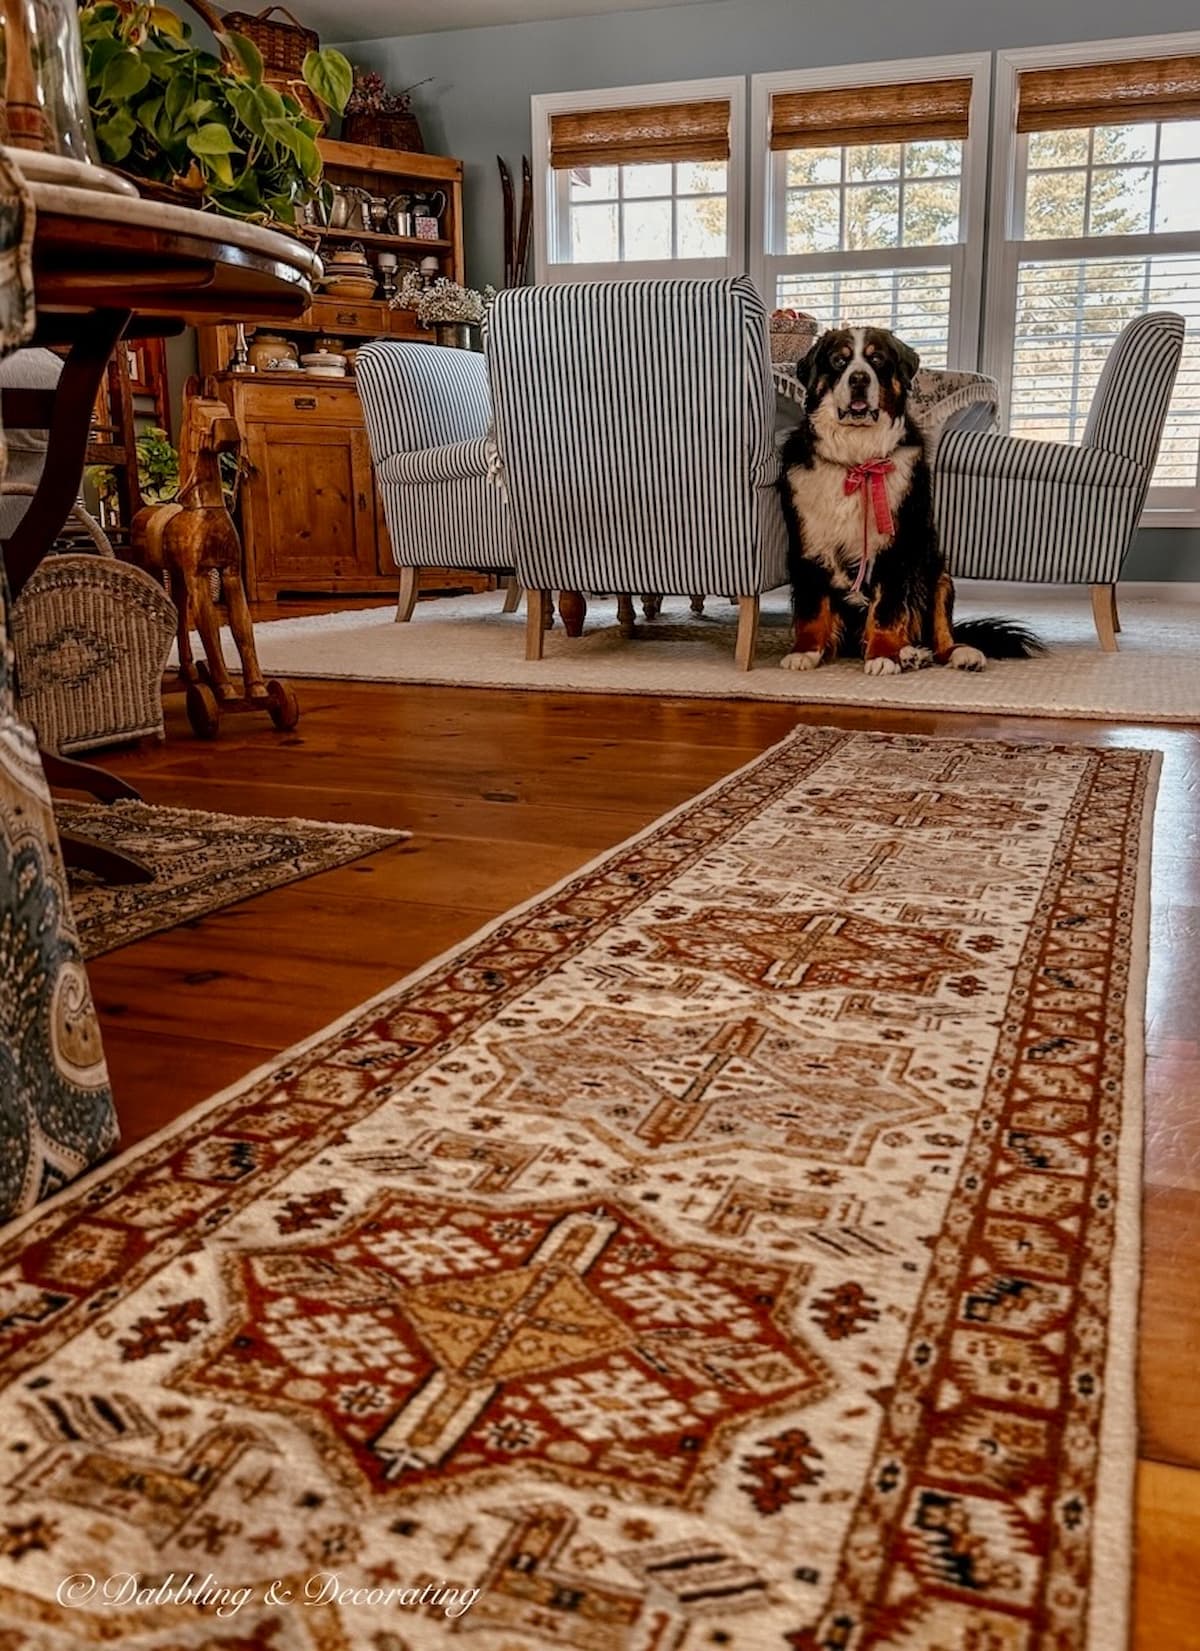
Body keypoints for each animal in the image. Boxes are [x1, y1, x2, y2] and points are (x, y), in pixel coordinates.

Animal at [779, 325, 1043, 673]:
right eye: (839, 361)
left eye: (877, 360)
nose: (859, 379)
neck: (857, 458)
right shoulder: (809, 542)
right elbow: (811, 608)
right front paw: (805, 651)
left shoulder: (897, 545)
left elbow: (887, 609)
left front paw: (882, 655)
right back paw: (910, 653)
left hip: (937, 571)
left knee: (939, 631)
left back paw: (944, 653)